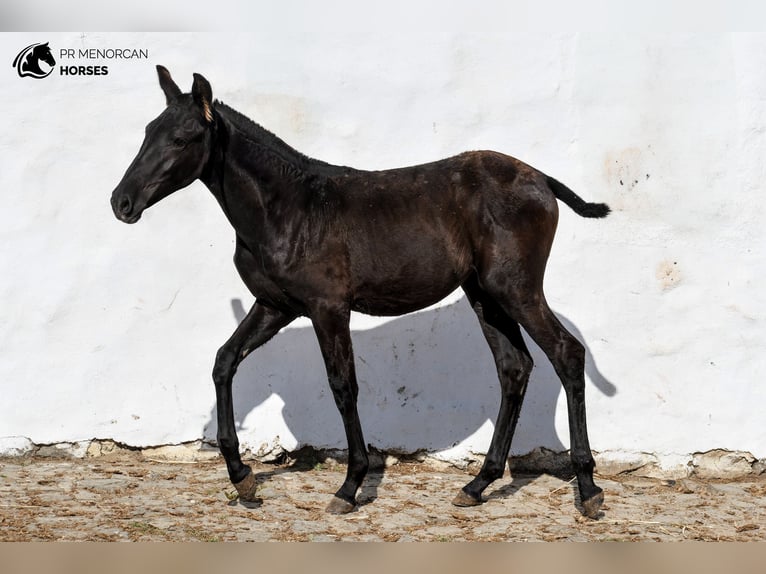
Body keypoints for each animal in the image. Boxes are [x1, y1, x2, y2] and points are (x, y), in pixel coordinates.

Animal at [111, 65, 612, 520]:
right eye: (148, 131)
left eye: (182, 139)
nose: (122, 202)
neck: (289, 208)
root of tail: (542, 180)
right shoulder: (275, 306)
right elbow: (224, 361)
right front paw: (243, 478)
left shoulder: (328, 308)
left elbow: (343, 385)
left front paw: (349, 487)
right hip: (486, 295)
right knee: (514, 368)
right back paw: (477, 484)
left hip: (516, 289)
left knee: (566, 354)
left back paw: (587, 489)